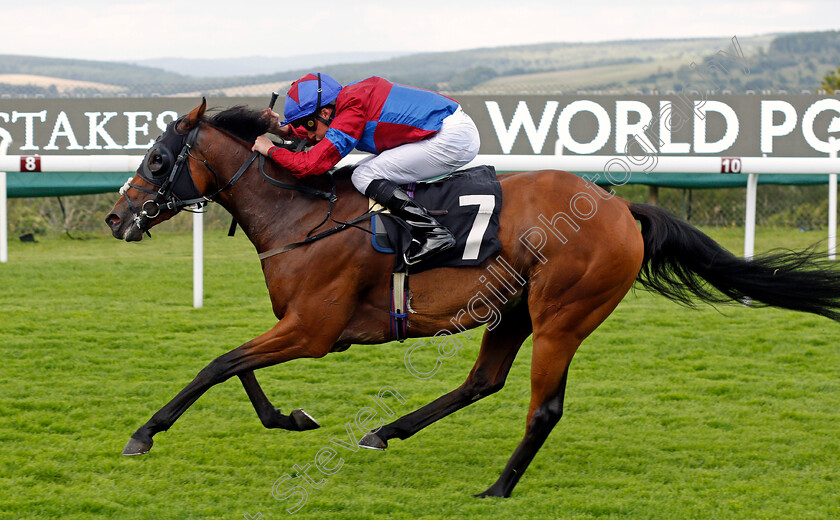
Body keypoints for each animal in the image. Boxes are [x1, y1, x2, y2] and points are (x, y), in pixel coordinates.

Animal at [103, 99, 840, 498]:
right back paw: (385, 431)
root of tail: (618, 208)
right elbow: (237, 366)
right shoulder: (300, 326)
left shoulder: (313, 331)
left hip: (562, 314)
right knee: (483, 381)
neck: (302, 213)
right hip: (512, 310)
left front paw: (144, 433)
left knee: (543, 407)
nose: (116, 218)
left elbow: (219, 363)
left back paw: (499, 485)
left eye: (158, 161)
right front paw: (292, 417)